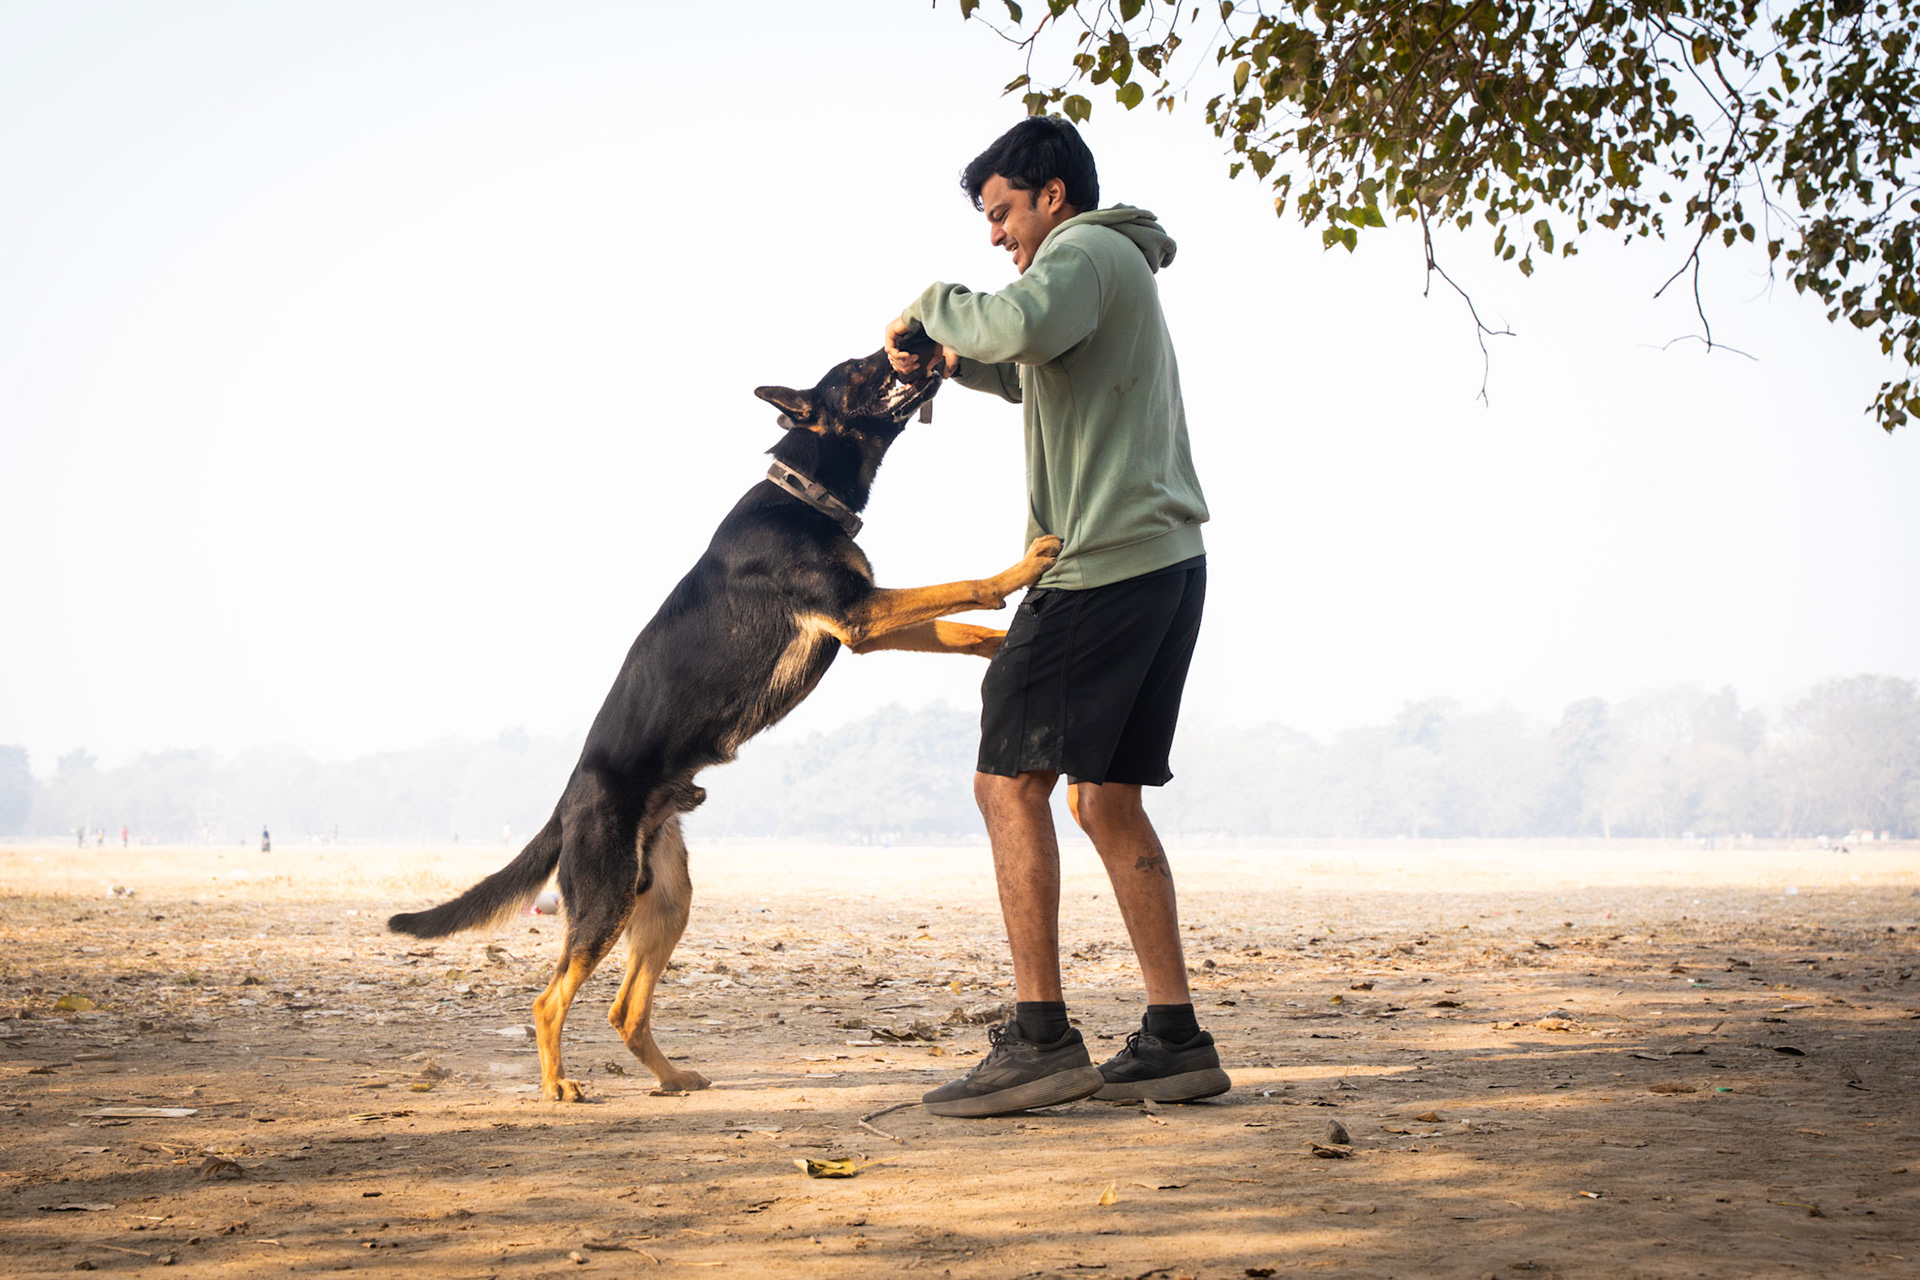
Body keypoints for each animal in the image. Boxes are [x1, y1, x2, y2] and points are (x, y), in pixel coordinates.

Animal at [388, 344, 1060, 1101]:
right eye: (859, 369)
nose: (915, 338)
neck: (803, 494)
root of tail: (567, 803)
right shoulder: (859, 612)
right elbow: (964, 586)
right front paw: (1024, 566)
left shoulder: (862, 622)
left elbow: (959, 626)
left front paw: (1001, 644)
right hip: (604, 901)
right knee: (547, 999)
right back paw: (559, 1086)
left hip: (664, 901)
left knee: (624, 1010)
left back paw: (672, 1077)